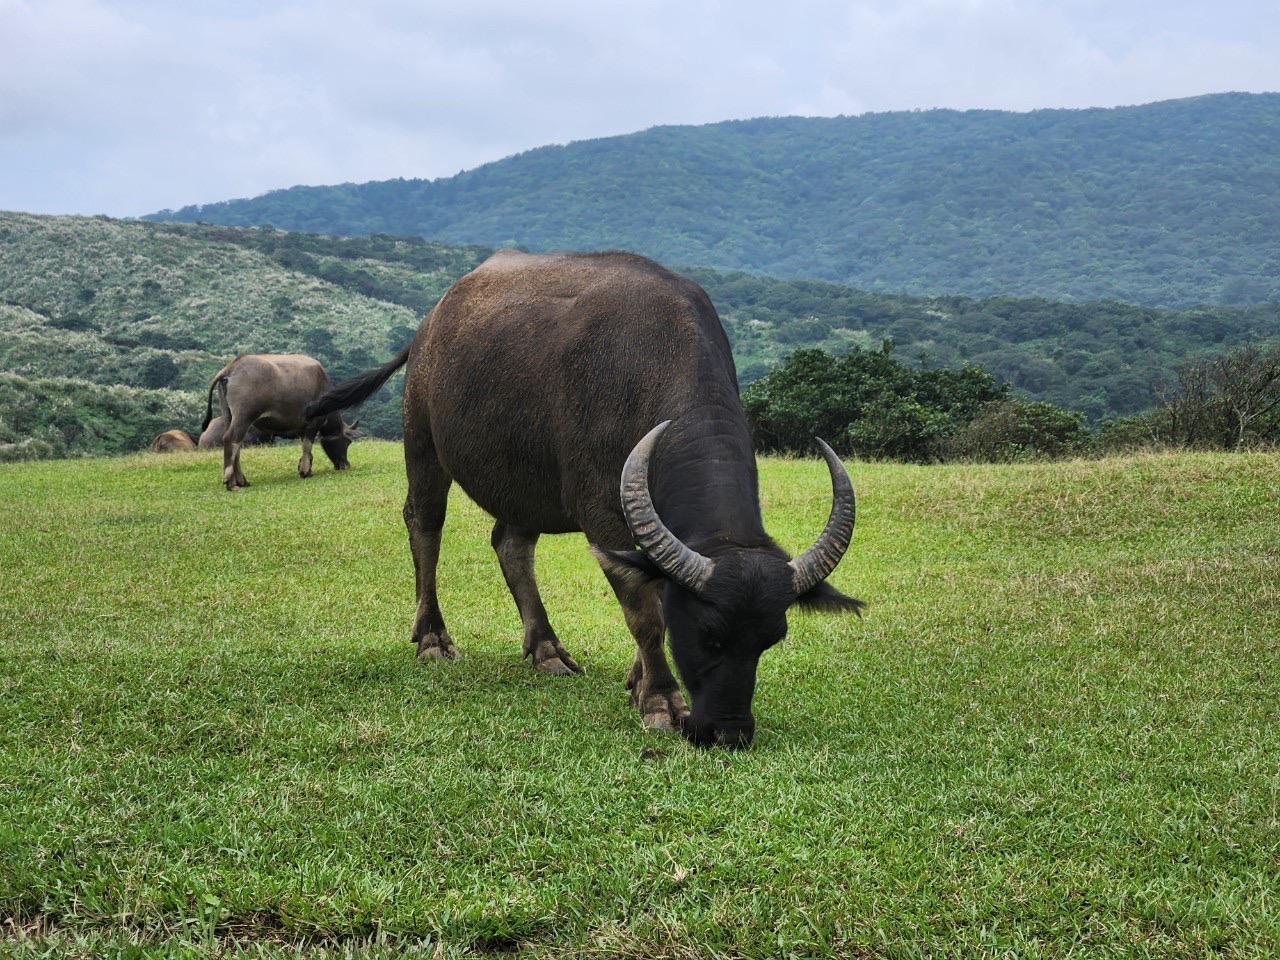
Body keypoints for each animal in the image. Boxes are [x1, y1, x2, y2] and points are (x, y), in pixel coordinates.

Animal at [202, 353, 359, 491]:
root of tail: (231, 367)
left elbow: (306, 449)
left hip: (229, 416)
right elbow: (307, 446)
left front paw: (304, 467)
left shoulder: (301, 429)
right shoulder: (313, 424)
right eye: (348, 442)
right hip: (244, 417)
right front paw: (305, 471)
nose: (346, 465)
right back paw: (231, 483)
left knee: (236, 446)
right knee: (231, 440)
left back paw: (242, 481)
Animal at [305, 250, 864, 747]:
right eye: (709, 634)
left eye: (771, 639)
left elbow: (652, 589)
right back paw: (432, 638)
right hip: (421, 441)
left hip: (524, 480)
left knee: (510, 543)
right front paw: (661, 700)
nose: (729, 732)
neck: (653, 361)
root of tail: (430, 323)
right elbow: (644, 610)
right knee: (424, 525)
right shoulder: (603, 516)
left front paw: (637, 681)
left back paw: (547, 648)